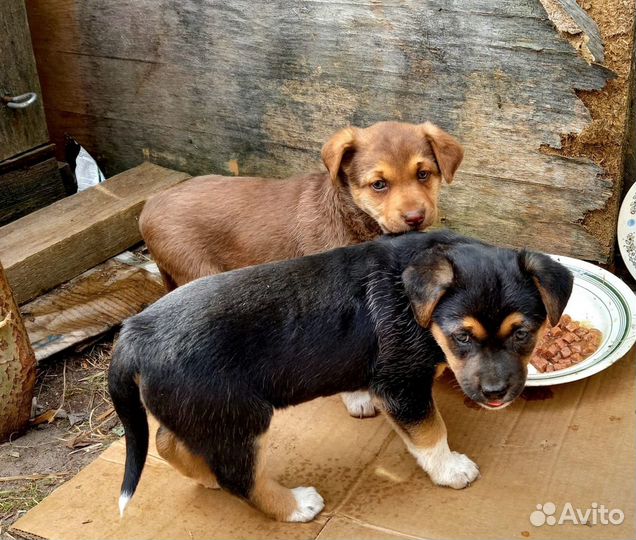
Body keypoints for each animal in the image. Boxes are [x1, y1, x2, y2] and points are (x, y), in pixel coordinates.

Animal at [108, 230, 572, 520]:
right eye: (462, 337)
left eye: (523, 334)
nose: (496, 393)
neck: (417, 306)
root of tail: (135, 333)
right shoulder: (403, 386)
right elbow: (430, 431)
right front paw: (450, 470)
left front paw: (358, 399)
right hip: (239, 417)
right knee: (240, 477)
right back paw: (294, 506)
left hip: (204, 412)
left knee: (169, 442)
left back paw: (204, 477)